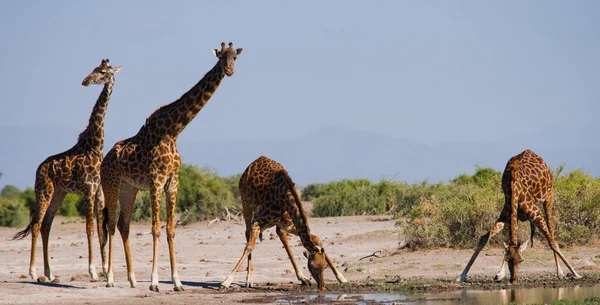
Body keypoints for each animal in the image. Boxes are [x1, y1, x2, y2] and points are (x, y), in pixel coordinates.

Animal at [13, 58, 120, 282]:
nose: (85, 81)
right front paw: (93, 271)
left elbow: (100, 229)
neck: (95, 146)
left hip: (59, 193)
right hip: (44, 191)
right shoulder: (88, 190)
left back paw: (49, 272)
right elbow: (89, 228)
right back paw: (33, 271)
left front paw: (105, 269)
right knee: (37, 224)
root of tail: (38, 168)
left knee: (46, 225)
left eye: (103, 72)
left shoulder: (99, 192)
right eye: (94, 69)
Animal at [97, 41, 243, 290]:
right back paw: (110, 279)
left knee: (124, 225)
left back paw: (132, 279)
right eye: (221, 57)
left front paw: (177, 282)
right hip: (111, 185)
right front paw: (155, 282)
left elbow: (171, 230)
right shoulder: (156, 182)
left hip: (129, 188)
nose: (230, 70)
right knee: (110, 224)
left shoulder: (173, 182)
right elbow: (155, 229)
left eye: (235, 57)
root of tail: (105, 159)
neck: (173, 132)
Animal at [220, 156, 346, 290]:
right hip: (246, 205)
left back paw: (303, 278)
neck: (284, 198)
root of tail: (253, 163)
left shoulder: (290, 225)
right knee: (247, 234)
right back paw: (249, 280)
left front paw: (341, 277)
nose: (322, 287)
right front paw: (226, 282)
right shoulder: (258, 221)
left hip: (278, 223)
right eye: (312, 267)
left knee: (281, 235)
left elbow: (316, 238)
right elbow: (249, 247)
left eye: (324, 266)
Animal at [454, 150, 580, 282]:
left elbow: (552, 243)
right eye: (508, 259)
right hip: (516, 217)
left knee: (551, 231)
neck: (514, 189)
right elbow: (485, 238)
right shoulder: (505, 216)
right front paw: (462, 276)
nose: (514, 280)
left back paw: (560, 272)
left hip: (549, 195)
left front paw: (576, 274)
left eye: (521, 260)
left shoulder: (537, 215)